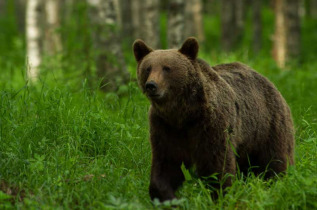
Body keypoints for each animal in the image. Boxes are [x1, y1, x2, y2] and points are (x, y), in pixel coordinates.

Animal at [131, 37, 294, 202]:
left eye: (167, 68)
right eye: (148, 68)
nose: (151, 85)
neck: (184, 114)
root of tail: (267, 80)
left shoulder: (211, 125)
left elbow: (216, 164)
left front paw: (219, 194)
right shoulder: (165, 127)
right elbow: (166, 164)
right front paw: (170, 198)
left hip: (268, 126)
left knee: (274, 161)